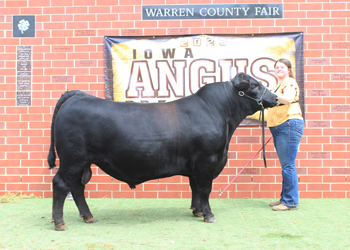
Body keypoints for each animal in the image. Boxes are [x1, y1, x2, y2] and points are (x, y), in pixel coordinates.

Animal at [47, 72, 278, 230]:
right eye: (255, 85)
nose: (275, 98)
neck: (219, 112)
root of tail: (78, 96)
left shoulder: (195, 165)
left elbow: (195, 188)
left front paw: (197, 211)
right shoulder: (207, 160)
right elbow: (205, 189)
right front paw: (208, 215)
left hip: (81, 162)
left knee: (77, 187)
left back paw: (88, 217)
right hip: (72, 159)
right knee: (61, 184)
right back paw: (60, 223)